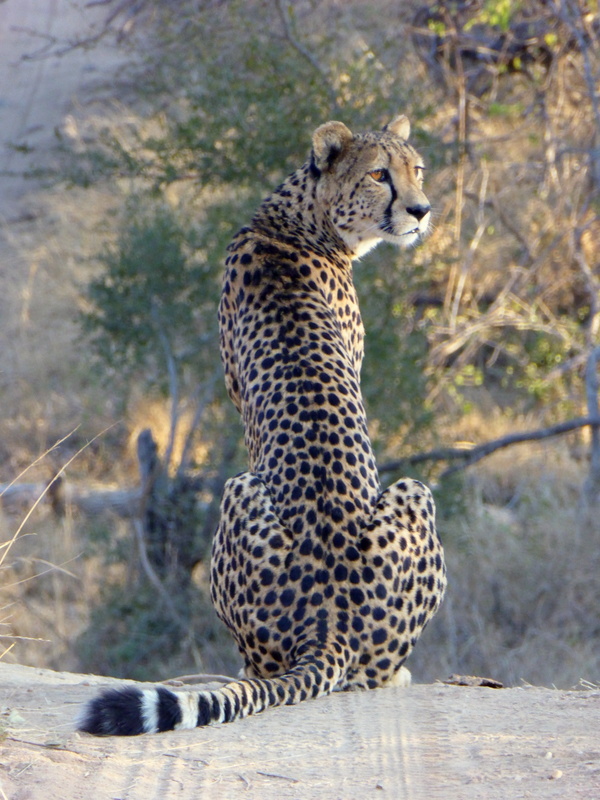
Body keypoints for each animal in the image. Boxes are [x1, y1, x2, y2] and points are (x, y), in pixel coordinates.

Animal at [79, 114, 446, 736]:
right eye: (380, 174)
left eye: (415, 169)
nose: (420, 210)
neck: (301, 216)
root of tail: (328, 623)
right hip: (326, 489)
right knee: (346, 672)